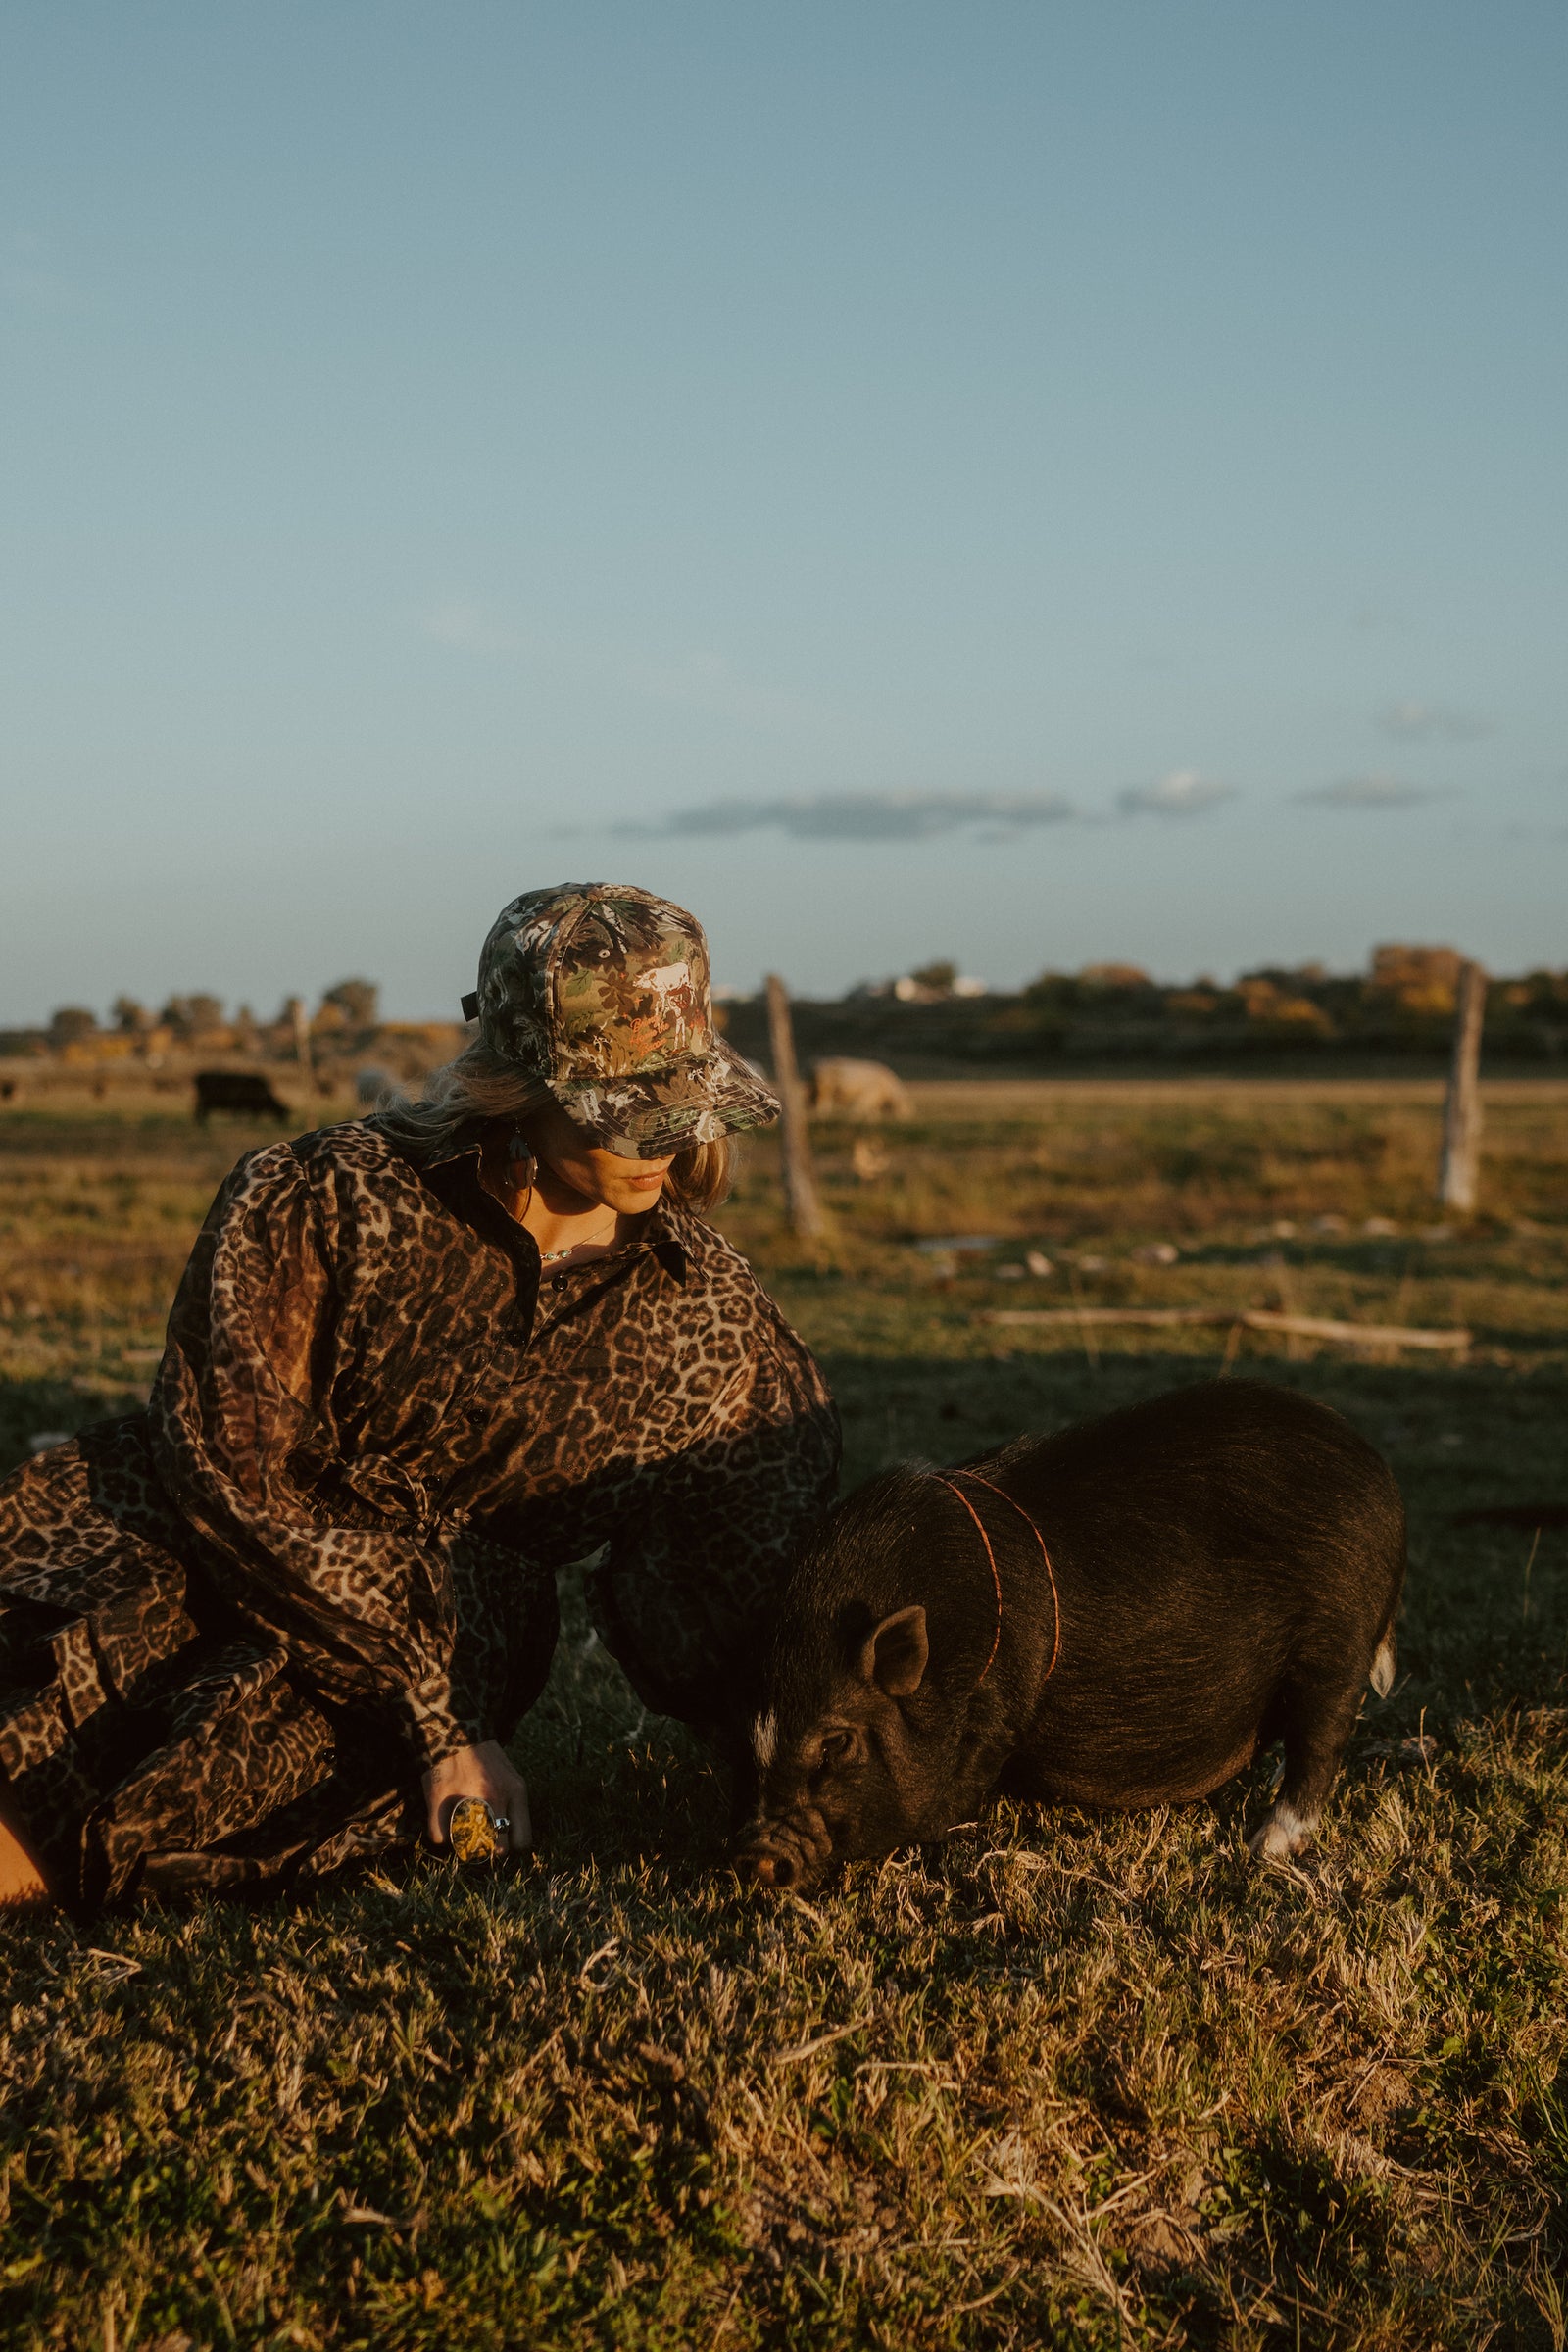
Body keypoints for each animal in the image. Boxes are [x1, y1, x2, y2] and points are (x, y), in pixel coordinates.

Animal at [738, 1383, 1410, 1882]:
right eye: (758, 1735)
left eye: (836, 1741)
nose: (757, 1858)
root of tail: (1381, 1478)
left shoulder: (994, 1711)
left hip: (1337, 1638)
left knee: (1322, 1737)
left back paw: (1265, 1845)